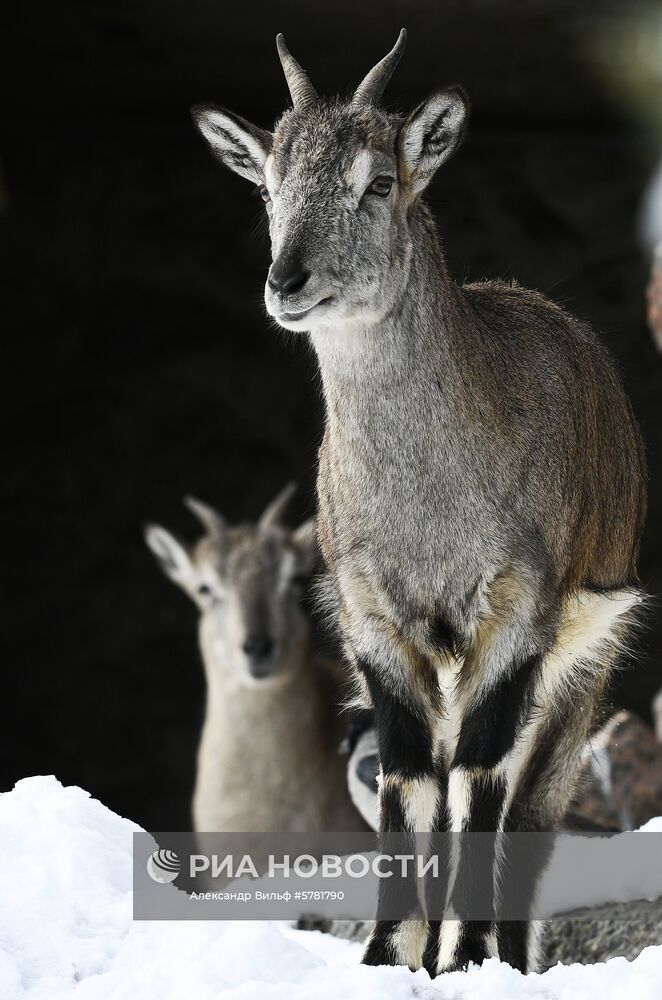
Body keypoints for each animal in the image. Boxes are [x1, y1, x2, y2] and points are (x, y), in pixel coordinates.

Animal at [192, 33, 648, 976]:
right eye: (267, 185)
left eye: (378, 181)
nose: (287, 279)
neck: (431, 511)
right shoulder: (374, 618)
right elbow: (408, 780)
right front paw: (385, 958)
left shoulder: (516, 614)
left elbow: (480, 778)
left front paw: (467, 958)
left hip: (585, 664)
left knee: (531, 813)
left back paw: (505, 952)